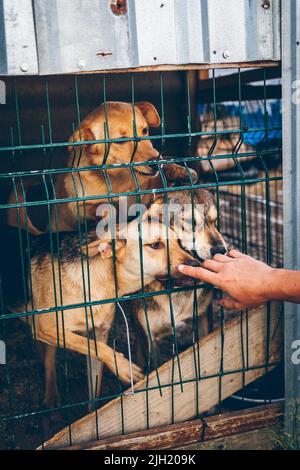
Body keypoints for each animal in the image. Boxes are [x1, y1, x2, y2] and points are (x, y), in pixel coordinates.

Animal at [8, 217, 199, 404]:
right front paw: (123, 367)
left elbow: (95, 384)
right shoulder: (47, 328)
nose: (196, 264)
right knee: (49, 360)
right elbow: (93, 345)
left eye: (179, 242)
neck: (101, 282)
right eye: (155, 245)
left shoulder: (99, 332)